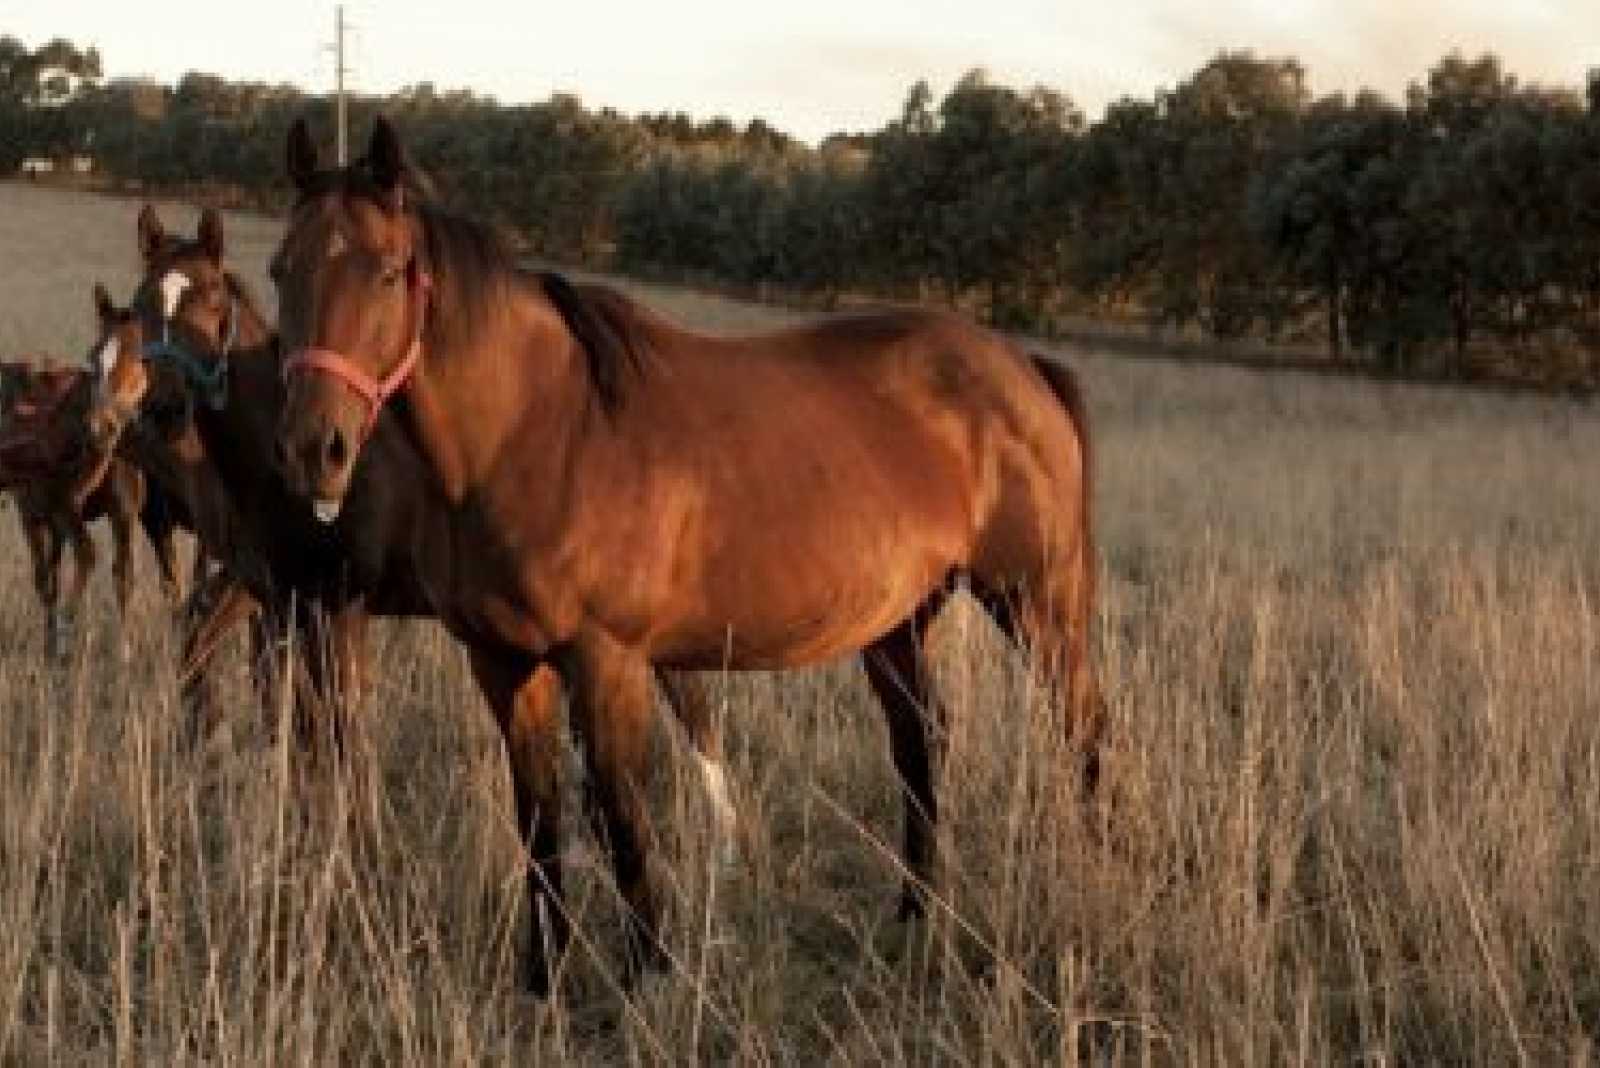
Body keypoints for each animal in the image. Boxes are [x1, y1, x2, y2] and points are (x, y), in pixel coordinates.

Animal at [272, 116, 1100, 991]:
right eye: (281, 269)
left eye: (389, 272)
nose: (313, 451)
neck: (538, 431)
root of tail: (1025, 367)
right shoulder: (501, 662)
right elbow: (539, 823)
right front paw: (544, 981)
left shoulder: (606, 662)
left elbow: (624, 821)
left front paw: (649, 978)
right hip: (900, 622)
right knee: (919, 744)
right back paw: (914, 917)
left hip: (1037, 603)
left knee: (1082, 736)